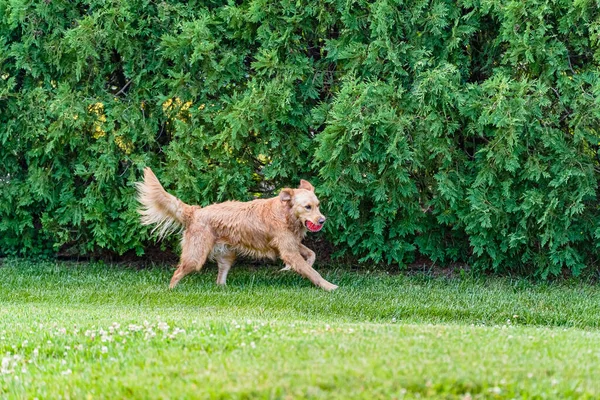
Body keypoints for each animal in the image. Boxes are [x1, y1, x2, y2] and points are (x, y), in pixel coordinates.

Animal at [135, 168, 338, 290]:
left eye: (318, 205)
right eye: (307, 207)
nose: (322, 220)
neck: (285, 213)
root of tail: (195, 212)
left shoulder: (291, 244)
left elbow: (311, 255)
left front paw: (298, 266)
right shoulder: (288, 251)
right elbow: (313, 272)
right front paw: (329, 286)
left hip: (226, 257)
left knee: (219, 279)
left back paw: (224, 289)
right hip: (195, 257)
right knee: (176, 273)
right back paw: (171, 290)